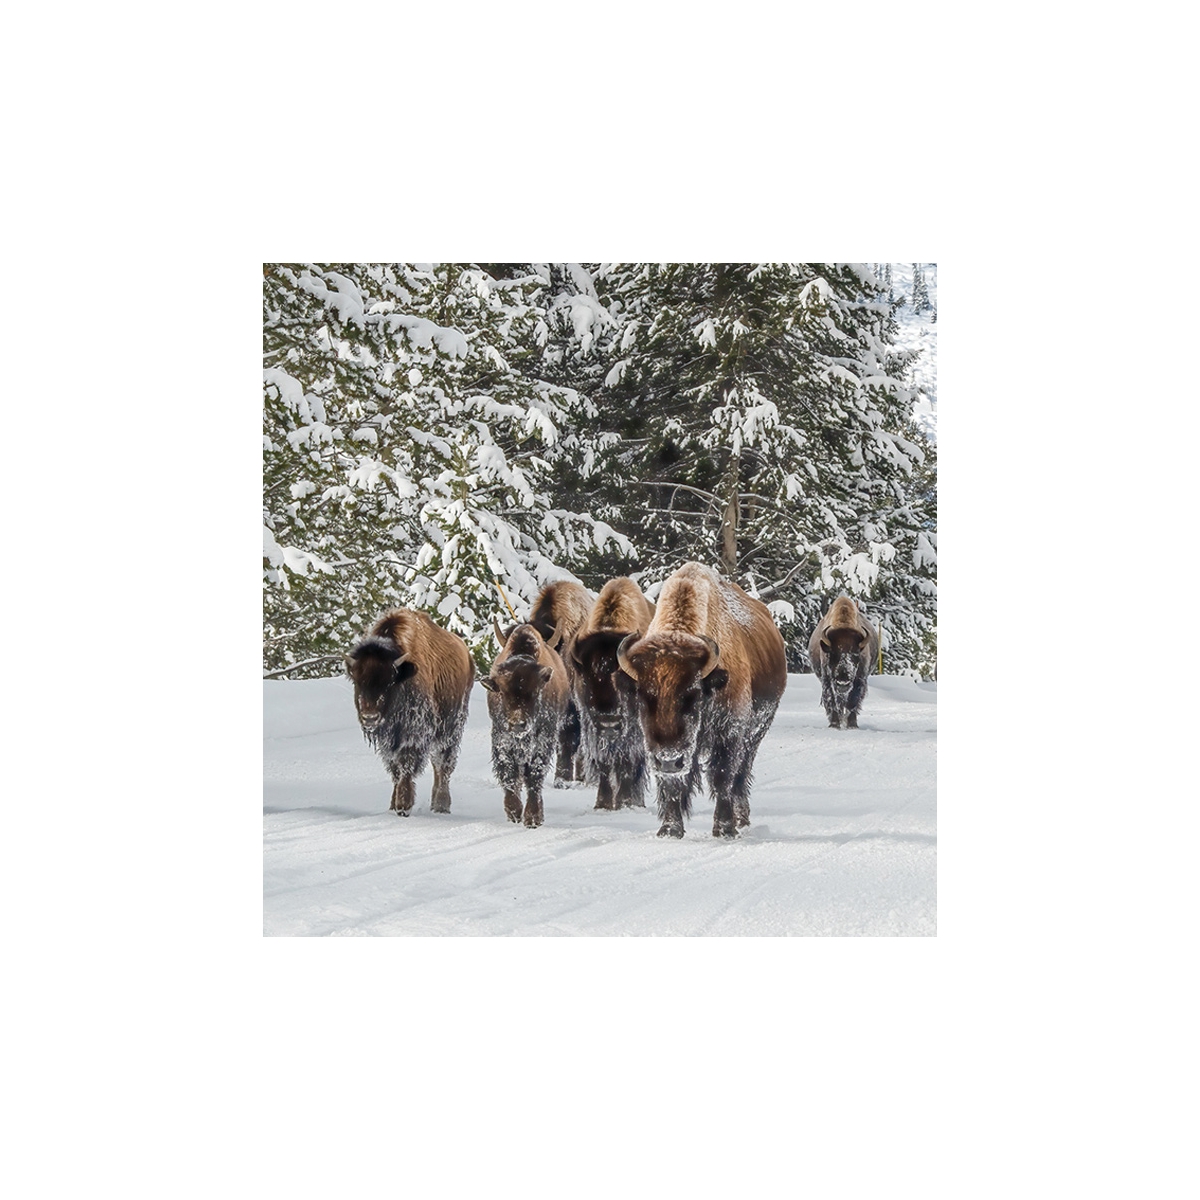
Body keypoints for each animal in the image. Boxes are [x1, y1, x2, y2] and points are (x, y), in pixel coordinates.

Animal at [343, 609, 472, 816]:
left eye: (389, 681)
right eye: (357, 681)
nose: (370, 717)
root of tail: (467, 654)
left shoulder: (413, 733)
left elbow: (405, 764)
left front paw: (403, 806)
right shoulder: (387, 741)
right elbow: (394, 768)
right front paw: (392, 805)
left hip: (451, 729)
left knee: (443, 764)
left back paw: (441, 806)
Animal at [480, 619, 568, 825]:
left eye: (536, 691)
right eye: (502, 692)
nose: (518, 724)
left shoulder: (544, 736)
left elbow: (535, 772)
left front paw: (533, 818)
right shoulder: (501, 736)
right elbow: (508, 771)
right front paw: (513, 812)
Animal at [568, 576, 657, 811]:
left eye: (622, 678)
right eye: (586, 678)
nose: (608, 721)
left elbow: (627, 762)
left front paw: (625, 802)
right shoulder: (592, 727)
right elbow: (605, 764)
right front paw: (603, 804)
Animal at [619, 564, 787, 840]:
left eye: (693, 694)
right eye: (643, 696)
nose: (669, 760)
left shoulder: (729, 731)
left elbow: (723, 776)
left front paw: (725, 829)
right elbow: (671, 783)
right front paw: (670, 830)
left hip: (757, 730)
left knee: (741, 773)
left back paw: (741, 820)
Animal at [806, 595, 883, 724]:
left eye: (856, 653)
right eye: (832, 653)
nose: (843, 680)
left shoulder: (859, 680)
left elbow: (853, 700)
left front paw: (852, 724)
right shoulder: (827, 680)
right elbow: (831, 700)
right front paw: (835, 723)